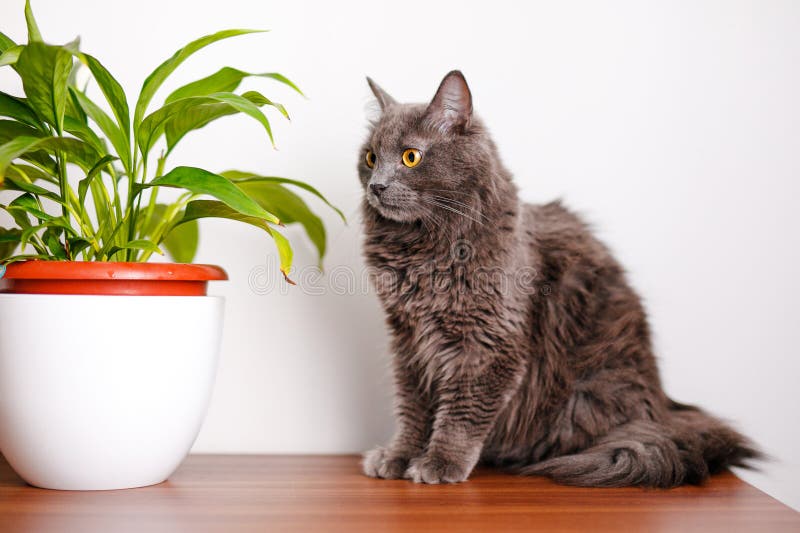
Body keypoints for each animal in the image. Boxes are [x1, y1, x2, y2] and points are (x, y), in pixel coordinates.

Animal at [356, 70, 756, 486]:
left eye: (411, 157)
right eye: (370, 158)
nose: (376, 186)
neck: (421, 249)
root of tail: (663, 411)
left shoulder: (489, 345)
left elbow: (461, 414)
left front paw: (439, 464)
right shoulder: (409, 342)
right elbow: (414, 410)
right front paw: (398, 457)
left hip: (589, 391)